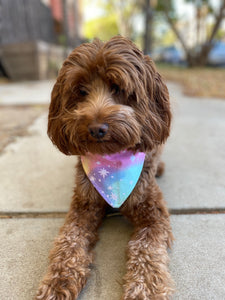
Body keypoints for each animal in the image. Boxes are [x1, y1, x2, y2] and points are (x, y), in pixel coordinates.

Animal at [36, 36, 175, 298]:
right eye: (81, 91)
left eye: (118, 88)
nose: (96, 129)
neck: (111, 161)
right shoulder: (84, 206)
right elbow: (69, 241)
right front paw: (58, 281)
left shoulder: (153, 212)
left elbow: (146, 250)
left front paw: (143, 289)